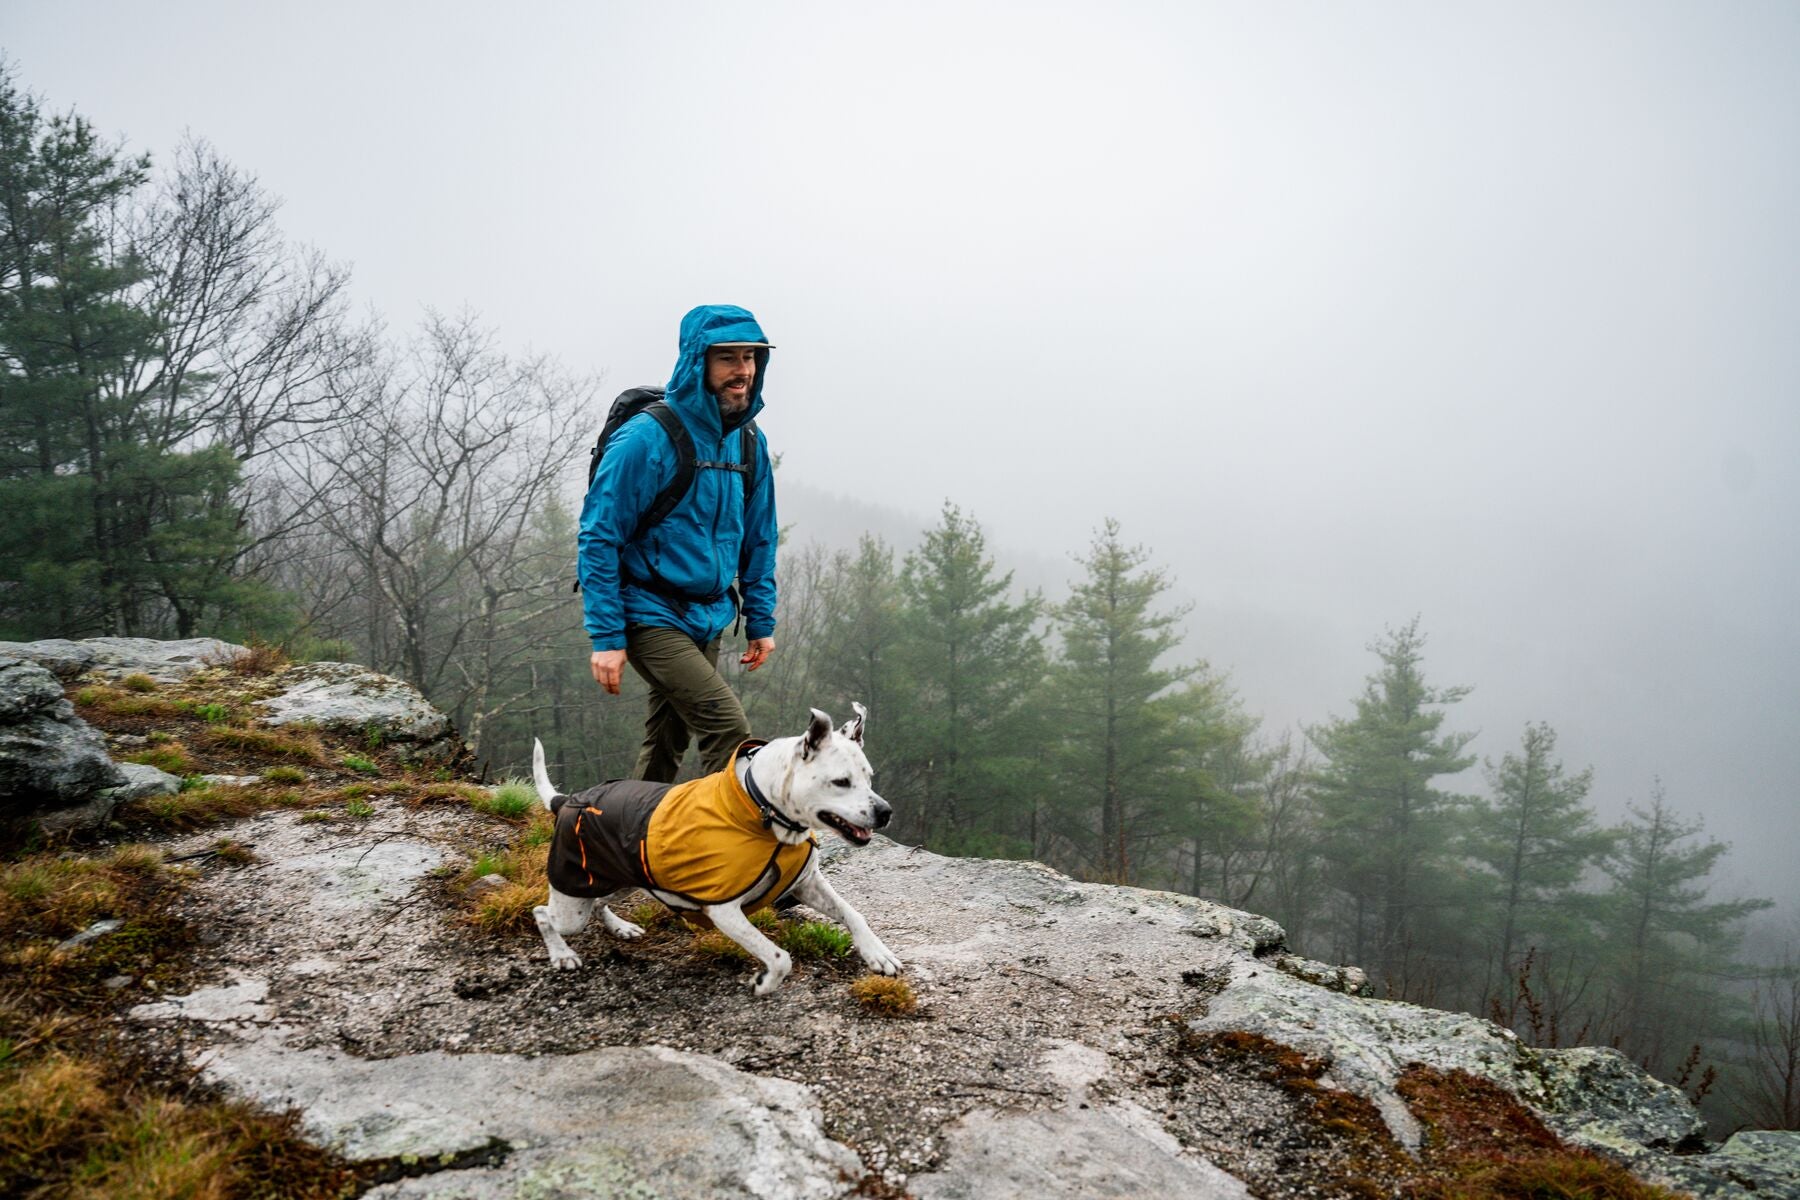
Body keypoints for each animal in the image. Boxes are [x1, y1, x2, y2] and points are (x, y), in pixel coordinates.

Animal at [529, 705, 900, 993]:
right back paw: (562, 954)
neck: (763, 812)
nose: (885, 812)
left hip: (620, 881)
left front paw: (877, 953)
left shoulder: (808, 883)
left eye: (869, 776)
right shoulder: (725, 911)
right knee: (543, 914)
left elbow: (854, 914)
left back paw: (620, 926)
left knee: (597, 904)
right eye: (841, 782)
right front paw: (764, 983)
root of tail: (568, 800)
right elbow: (780, 957)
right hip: (573, 902)